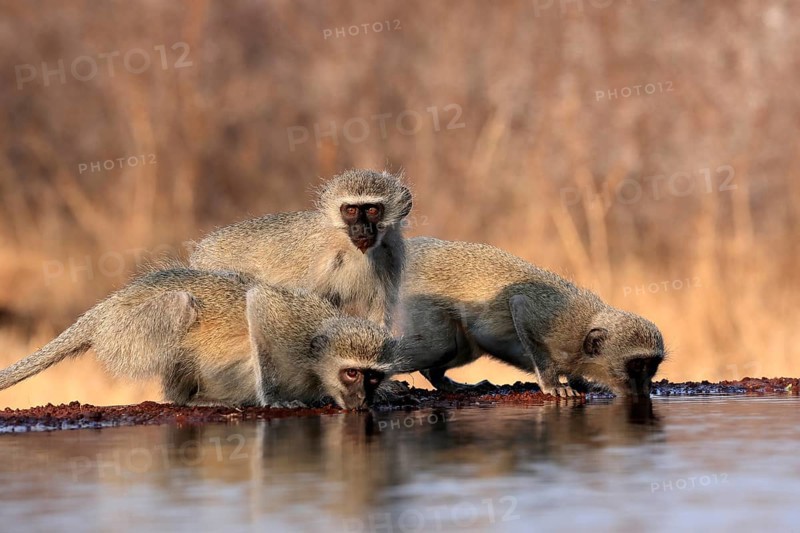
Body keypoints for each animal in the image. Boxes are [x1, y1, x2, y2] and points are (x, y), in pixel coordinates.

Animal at [0, 269, 398, 409]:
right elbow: (259, 303)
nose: (361, 399)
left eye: (371, 377)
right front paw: (275, 401)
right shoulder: (290, 326)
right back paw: (190, 400)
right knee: (180, 306)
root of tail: (105, 309)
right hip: (125, 332)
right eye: (351, 373)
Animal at [393, 238, 666, 397]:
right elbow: (520, 306)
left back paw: (440, 379)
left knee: (460, 349)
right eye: (637, 365)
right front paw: (552, 385)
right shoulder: (556, 322)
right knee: (440, 347)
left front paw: (579, 382)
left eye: (652, 366)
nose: (644, 388)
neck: (582, 334)